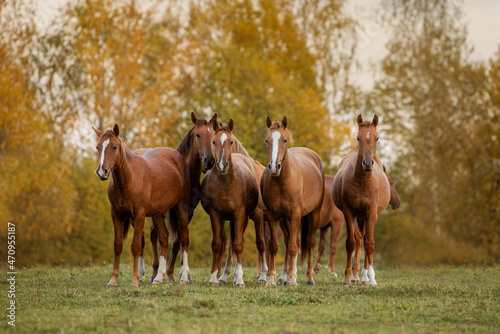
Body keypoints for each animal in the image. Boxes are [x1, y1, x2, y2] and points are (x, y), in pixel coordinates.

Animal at [93, 124, 189, 286]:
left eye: (114, 147)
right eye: (97, 147)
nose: (102, 171)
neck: (129, 178)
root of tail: (176, 155)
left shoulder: (139, 214)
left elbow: (136, 246)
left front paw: (135, 280)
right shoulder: (116, 213)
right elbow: (118, 245)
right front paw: (113, 279)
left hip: (181, 207)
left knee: (184, 238)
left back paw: (184, 277)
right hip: (157, 214)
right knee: (164, 238)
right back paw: (158, 277)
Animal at [201, 120, 260, 288]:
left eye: (231, 141)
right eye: (214, 141)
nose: (222, 165)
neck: (226, 183)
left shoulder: (239, 215)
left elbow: (238, 245)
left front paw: (239, 279)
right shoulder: (215, 215)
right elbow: (216, 244)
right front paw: (213, 278)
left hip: (242, 219)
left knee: (236, 243)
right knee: (226, 244)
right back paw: (223, 276)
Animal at [258, 116, 324, 286]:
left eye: (285, 140)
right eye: (267, 140)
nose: (274, 167)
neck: (282, 181)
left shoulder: (295, 215)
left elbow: (294, 248)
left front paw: (293, 280)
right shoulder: (273, 217)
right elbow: (274, 247)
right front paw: (272, 279)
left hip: (314, 214)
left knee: (309, 242)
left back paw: (308, 278)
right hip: (285, 220)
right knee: (288, 243)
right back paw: (285, 277)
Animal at [332, 114, 390, 284]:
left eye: (377, 138)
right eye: (358, 137)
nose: (368, 163)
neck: (362, 181)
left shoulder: (371, 213)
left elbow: (369, 244)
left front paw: (372, 279)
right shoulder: (349, 212)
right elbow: (351, 243)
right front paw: (347, 277)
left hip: (367, 216)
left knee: (365, 241)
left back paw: (365, 277)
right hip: (358, 217)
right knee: (358, 240)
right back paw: (355, 276)